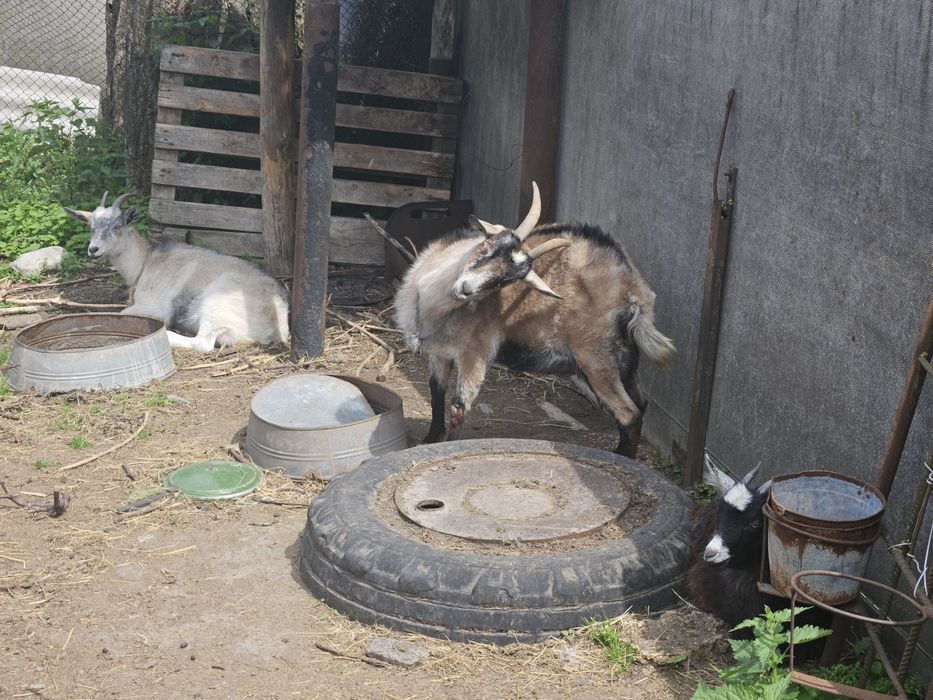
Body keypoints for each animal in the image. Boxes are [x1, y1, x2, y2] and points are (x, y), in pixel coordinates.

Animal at [64, 192, 289, 352]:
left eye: (117, 226)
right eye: (90, 226)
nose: (93, 250)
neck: (146, 262)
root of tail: (277, 321)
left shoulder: (154, 307)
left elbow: (122, 314)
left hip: (215, 304)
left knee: (203, 343)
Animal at [394, 182, 675, 457]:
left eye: (505, 280)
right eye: (490, 247)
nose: (464, 289)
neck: (434, 304)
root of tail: (633, 288)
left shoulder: (473, 353)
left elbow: (458, 406)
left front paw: (446, 446)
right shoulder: (439, 353)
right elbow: (435, 392)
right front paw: (429, 440)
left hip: (595, 356)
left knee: (629, 413)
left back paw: (620, 457)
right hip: (626, 359)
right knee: (641, 404)